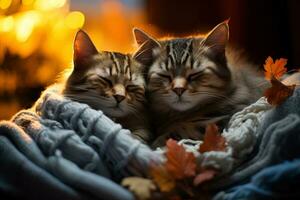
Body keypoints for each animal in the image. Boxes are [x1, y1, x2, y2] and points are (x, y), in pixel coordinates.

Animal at [132, 21, 268, 148]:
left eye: (194, 74)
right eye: (165, 75)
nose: (179, 89)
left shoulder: (228, 115)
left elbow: (181, 131)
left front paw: (156, 143)